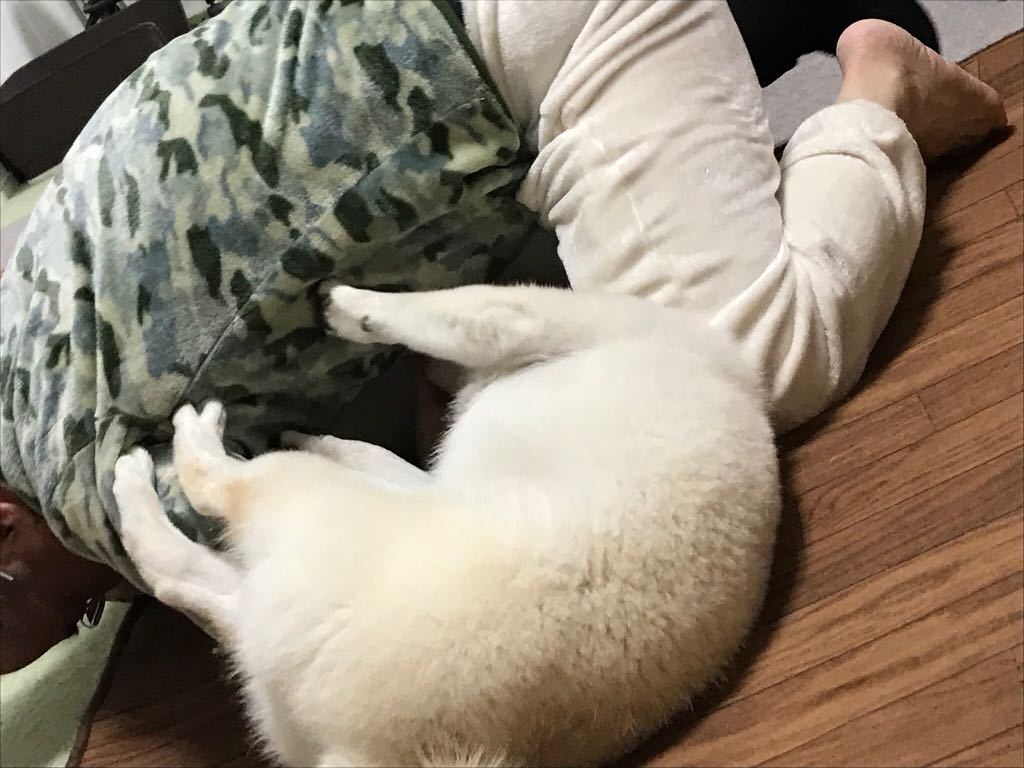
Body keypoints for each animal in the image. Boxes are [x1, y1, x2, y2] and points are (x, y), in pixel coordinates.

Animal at [111, 283, 780, 767]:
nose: (427, 383)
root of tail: (363, 750)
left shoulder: (523, 314)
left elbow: (425, 309)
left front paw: (345, 305)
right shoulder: (435, 480)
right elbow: (379, 454)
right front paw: (325, 434)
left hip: (304, 509)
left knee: (208, 503)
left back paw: (170, 454)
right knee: (190, 583)